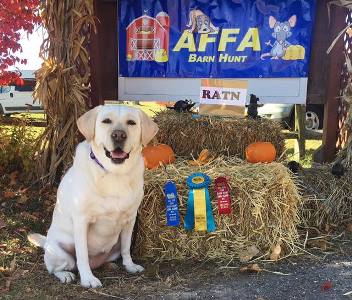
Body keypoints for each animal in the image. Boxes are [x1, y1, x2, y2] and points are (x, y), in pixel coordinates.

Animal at [28, 104, 158, 288]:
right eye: (106, 121)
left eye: (131, 123)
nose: (119, 135)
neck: (114, 173)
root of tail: (46, 243)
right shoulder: (82, 220)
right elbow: (82, 255)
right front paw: (88, 279)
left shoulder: (130, 219)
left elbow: (126, 248)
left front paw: (130, 265)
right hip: (60, 253)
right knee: (56, 268)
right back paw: (66, 275)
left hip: (113, 247)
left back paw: (110, 265)